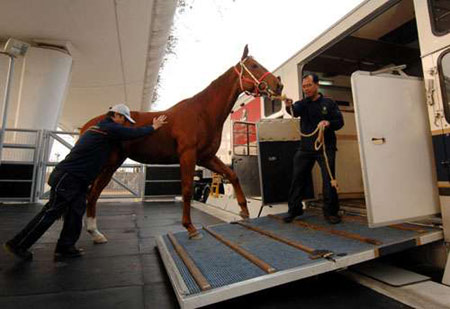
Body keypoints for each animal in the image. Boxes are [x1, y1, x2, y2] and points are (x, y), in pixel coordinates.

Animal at [78, 45, 282, 241]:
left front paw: (244, 211)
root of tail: (88, 126)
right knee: (92, 192)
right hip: (107, 164)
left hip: (112, 164)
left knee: (93, 193)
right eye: (254, 66)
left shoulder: (206, 157)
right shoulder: (188, 155)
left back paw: (95, 233)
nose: (278, 85)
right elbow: (187, 190)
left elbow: (232, 175)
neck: (202, 112)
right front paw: (190, 228)